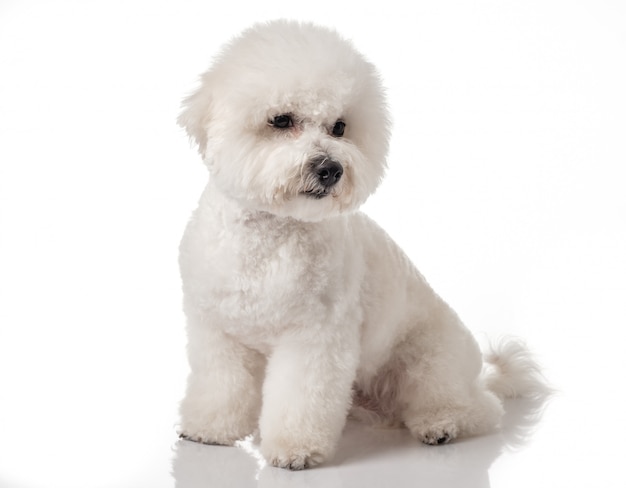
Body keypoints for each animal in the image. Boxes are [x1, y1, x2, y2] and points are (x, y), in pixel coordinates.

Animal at [177, 21, 544, 470]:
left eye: (339, 127)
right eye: (280, 120)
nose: (330, 168)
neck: (270, 235)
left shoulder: (315, 338)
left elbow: (301, 398)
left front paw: (296, 449)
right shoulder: (217, 331)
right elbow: (220, 386)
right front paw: (210, 429)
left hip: (429, 363)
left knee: (479, 407)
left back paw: (442, 424)